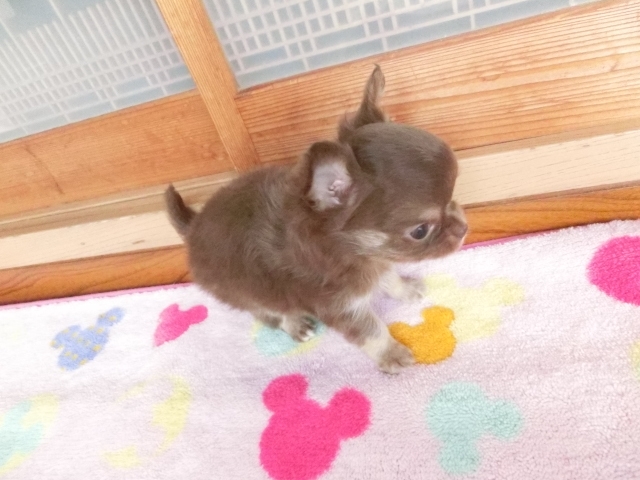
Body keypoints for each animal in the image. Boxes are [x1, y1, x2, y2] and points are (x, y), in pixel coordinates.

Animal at [165, 66, 467, 373]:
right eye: (420, 231)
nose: (464, 227)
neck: (351, 251)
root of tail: (193, 226)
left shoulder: (377, 261)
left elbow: (389, 276)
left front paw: (405, 287)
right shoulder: (339, 307)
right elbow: (371, 332)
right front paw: (390, 354)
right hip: (245, 291)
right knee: (268, 312)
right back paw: (295, 323)